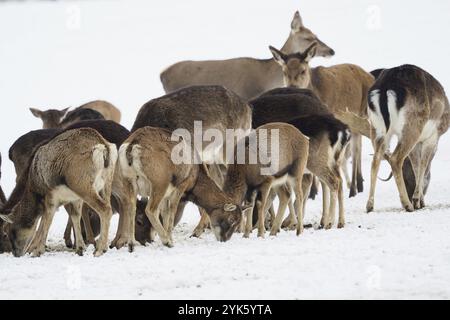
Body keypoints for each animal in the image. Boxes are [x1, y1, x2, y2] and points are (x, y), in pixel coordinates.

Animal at [0, 128, 118, 258]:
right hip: (106, 184)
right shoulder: (75, 198)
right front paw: (80, 248)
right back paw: (103, 247)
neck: (35, 187)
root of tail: (104, 148)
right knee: (108, 207)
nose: (16, 253)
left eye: (8, 231)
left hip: (82, 185)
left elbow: (47, 220)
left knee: (105, 209)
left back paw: (99, 250)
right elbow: (75, 217)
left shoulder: (51, 195)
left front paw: (37, 251)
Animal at [118, 126, 250, 246]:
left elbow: (165, 214)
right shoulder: (180, 187)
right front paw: (170, 240)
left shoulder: (166, 197)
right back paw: (167, 242)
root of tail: (133, 144)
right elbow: (171, 212)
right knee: (150, 210)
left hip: (130, 185)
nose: (224, 239)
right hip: (159, 186)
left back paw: (132, 244)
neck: (196, 172)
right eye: (232, 219)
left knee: (131, 208)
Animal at [268, 42, 374, 198]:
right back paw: (359, 184)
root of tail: (370, 76)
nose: (292, 87)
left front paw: (313, 192)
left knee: (356, 149)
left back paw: (354, 188)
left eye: (303, 71)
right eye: (284, 72)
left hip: (361, 113)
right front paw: (314, 191)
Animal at [364, 63, 448, 211]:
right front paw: (418, 201)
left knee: (376, 159)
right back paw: (407, 204)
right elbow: (422, 165)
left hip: (376, 128)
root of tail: (386, 87)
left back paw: (369, 205)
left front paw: (420, 200)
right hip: (411, 127)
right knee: (396, 158)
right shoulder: (432, 136)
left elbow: (416, 165)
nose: (411, 195)